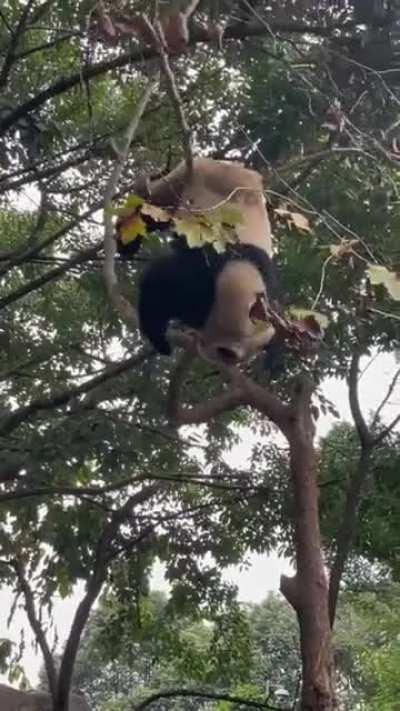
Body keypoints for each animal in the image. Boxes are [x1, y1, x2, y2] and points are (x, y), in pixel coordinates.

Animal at [118, 158, 281, 366]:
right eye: (223, 353)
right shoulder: (208, 271)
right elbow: (158, 284)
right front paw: (161, 343)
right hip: (197, 177)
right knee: (152, 200)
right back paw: (127, 238)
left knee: (159, 212)